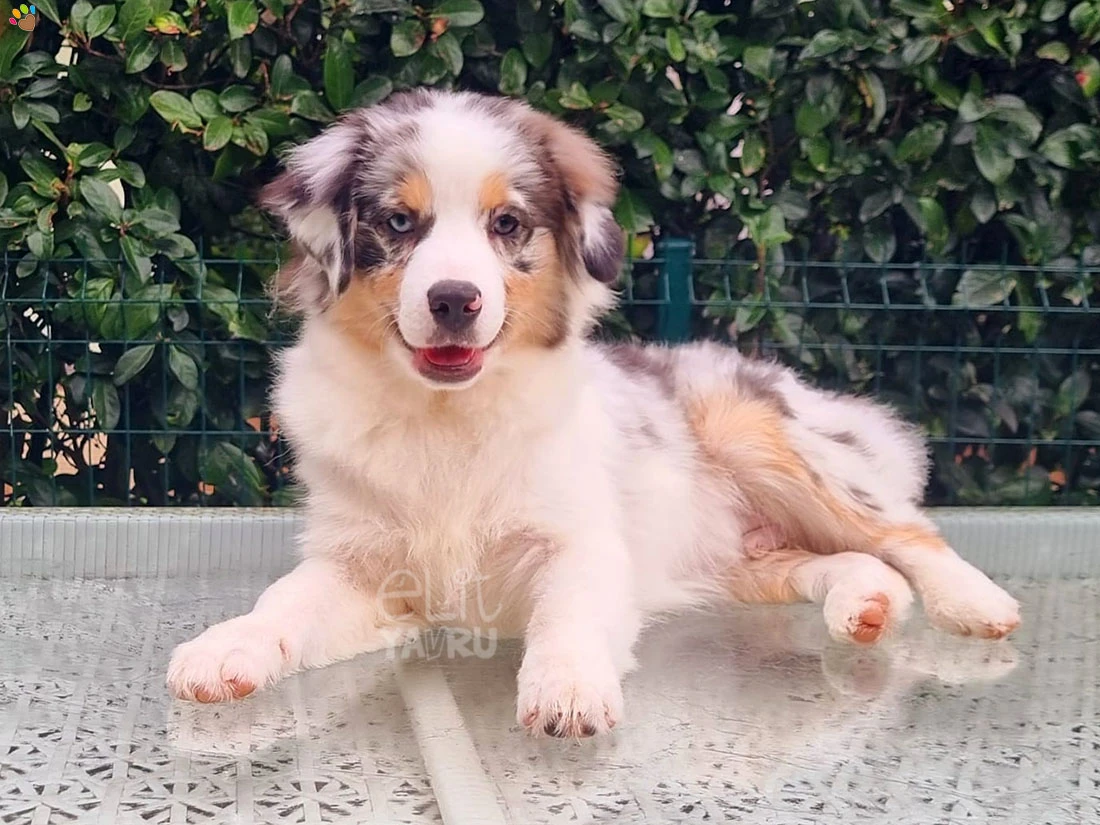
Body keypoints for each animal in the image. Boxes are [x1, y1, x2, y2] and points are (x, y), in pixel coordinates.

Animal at [165, 89, 1020, 734]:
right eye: (399, 223)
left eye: (507, 223)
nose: (454, 299)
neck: (446, 415)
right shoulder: (362, 563)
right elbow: (284, 600)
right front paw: (225, 649)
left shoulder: (581, 540)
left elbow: (567, 614)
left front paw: (567, 689)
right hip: (739, 562)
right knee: (844, 560)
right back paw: (864, 605)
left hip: (769, 436)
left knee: (905, 531)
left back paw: (978, 603)